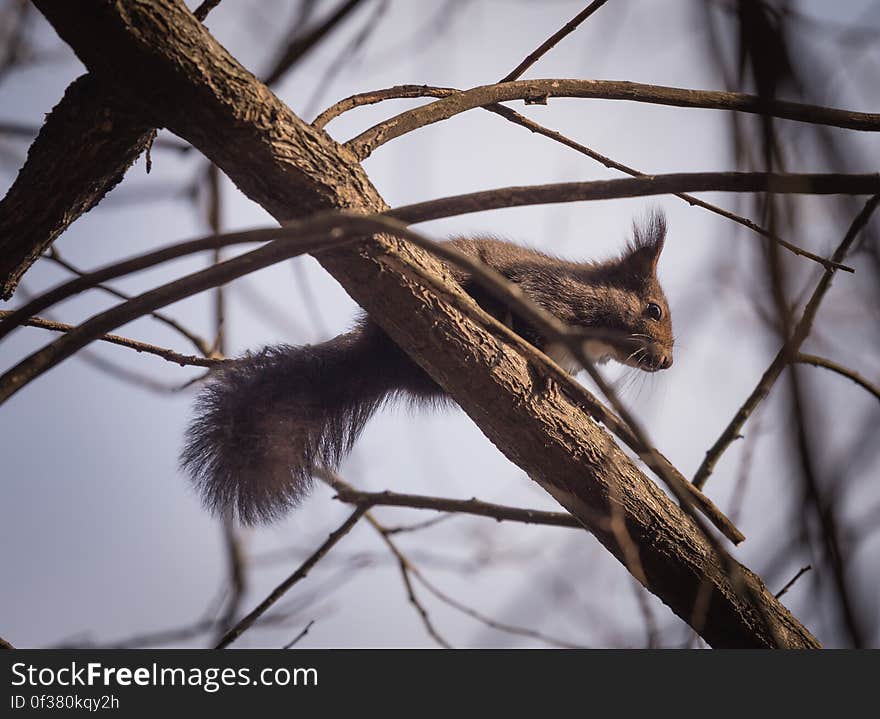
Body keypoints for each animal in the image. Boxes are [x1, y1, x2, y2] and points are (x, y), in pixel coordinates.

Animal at [180, 208, 672, 524]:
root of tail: (376, 355)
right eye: (654, 311)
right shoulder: (542, 292)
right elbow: (527, 317)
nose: (668, 362)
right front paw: (545, 370)